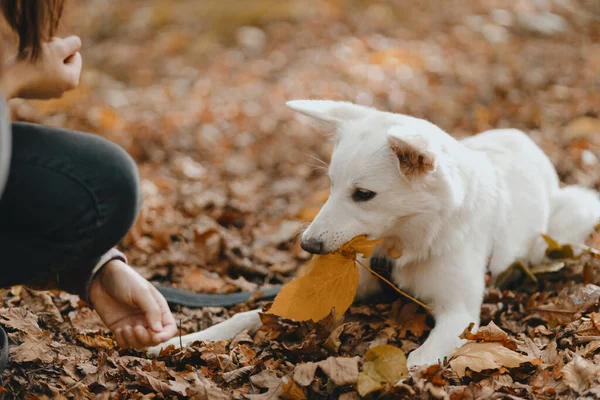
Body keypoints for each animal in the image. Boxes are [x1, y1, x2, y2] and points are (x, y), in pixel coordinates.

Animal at [150, 101, 600, 368]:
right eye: (330, 185)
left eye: (363, 194)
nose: (308, 245)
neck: (407, 242)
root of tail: (523, 139)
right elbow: (248, 313)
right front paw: (188, 339)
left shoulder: (460, 312)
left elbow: (419, 360)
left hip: (568, 220)